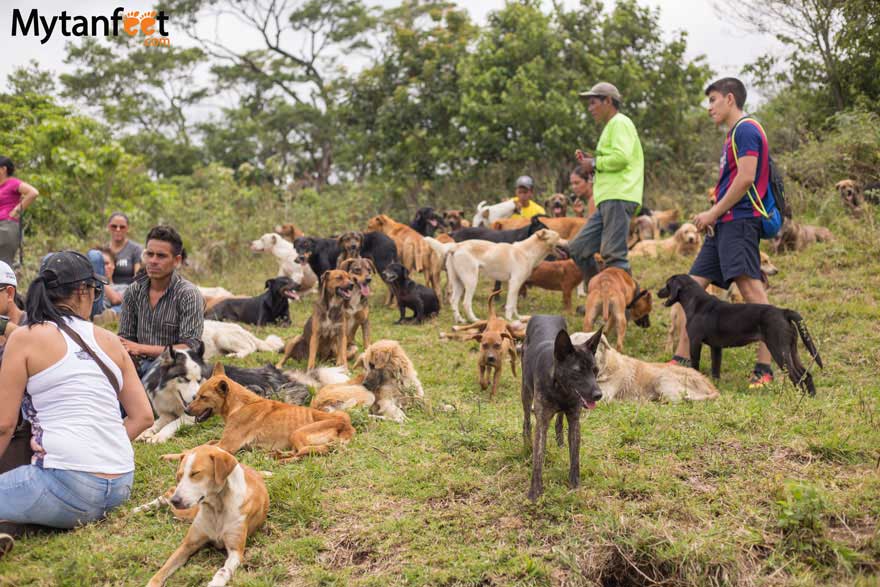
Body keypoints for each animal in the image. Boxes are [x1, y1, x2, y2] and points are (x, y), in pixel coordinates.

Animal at [137, 446, 268, 587]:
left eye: (195, 473)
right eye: (180, 475)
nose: (176, 501)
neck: (217, 508)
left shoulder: (236, 551)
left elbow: (224, 570)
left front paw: (216, 582)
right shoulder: (188, 544)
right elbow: (165, 567)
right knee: (170, 492)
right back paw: (142, 508)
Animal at [177, 362, 356, 464]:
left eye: (204, 397)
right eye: (196, 395)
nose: (186, 410)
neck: (239, 405)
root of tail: (346, 425)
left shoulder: (225, 447)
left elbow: (191, 451)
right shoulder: (223, 443)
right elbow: (204, 444)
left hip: (297, 433)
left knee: (305, 453)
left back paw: (278, 459)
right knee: (301, 451)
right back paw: (275, 454)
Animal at [520, 314, 600, 504]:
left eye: (596, 370)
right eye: (577, 372)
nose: (598, 395)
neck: (560, 389)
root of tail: (544, 315)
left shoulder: (575, 420)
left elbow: (575, 456)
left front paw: (575, 486)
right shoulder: (541, 422)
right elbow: (538, 458)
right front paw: (534, 492)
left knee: (559, 420)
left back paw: (560, 441)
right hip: (525, 391)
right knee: (526, 420)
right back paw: (526, 443)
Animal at [660, 274, 824, 396]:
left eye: (667, 284)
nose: (657, 292)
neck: (697, 303)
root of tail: (783, 312)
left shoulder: (695, 342)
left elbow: (695, 365)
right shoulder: (716, 347)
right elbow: (715, 370)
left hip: (779, 350)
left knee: (796, 376)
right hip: (791, 349)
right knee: (806, 374)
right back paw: (810, 397)